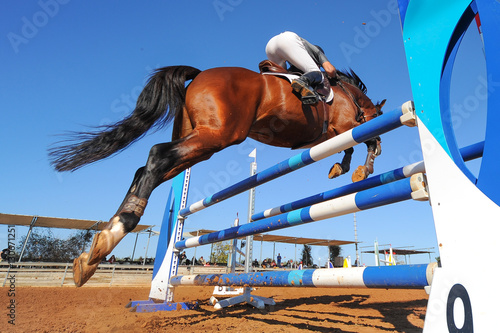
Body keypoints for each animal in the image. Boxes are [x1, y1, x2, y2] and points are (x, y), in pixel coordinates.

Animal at [49, 65, 386, 286]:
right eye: (377, 114)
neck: (347, 94)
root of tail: (199, 74)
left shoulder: (336, 134)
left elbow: (353, 144)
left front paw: (341, 167)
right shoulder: (344, 126)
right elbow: (367, 138)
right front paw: (361, 169)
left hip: (202, 141)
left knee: (147, 170)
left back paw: (96, 251)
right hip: (217, 135)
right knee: (156, 156)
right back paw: (116, 233)